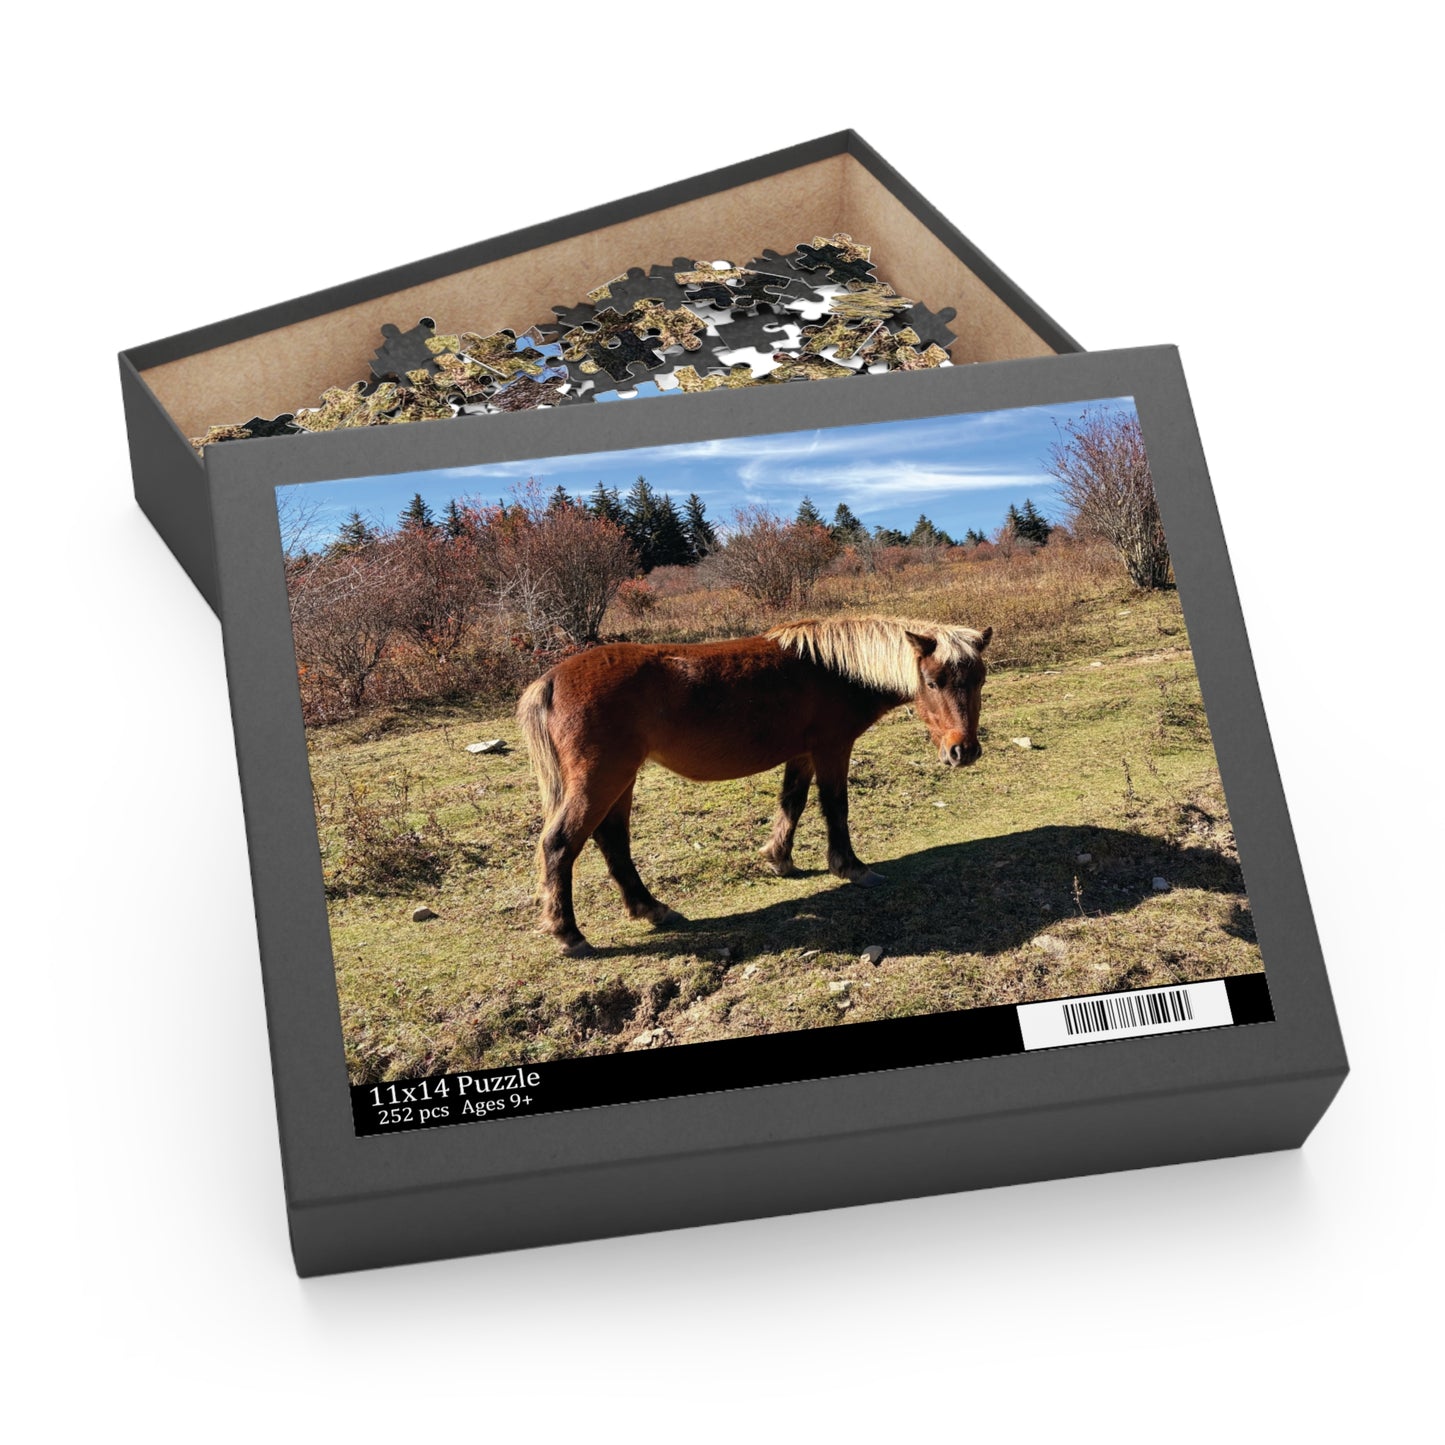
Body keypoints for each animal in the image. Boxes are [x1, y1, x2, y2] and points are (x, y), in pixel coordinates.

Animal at [517, 615, 992, 956]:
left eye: (980, 680)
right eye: (932, 682)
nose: (963, 751)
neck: (833, 670)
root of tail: (551, 680)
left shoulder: (802, 754)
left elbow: (792, 803)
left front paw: (779, 859)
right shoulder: (832, 749)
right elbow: (835, 807)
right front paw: (851, 867)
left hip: (621, 779)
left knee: (613, 841)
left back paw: (652, 909)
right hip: (602, 778)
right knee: (560, 844)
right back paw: (570, 934)